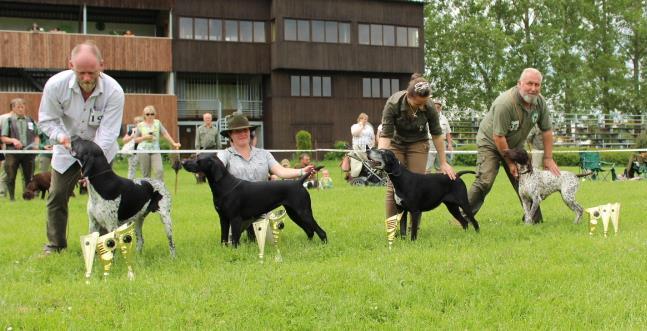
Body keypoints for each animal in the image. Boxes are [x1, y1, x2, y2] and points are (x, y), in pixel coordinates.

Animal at [181, 154, 326, 248]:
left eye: (198, 160)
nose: (182, 162)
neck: (224, 185)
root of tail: (298, 182)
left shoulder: (235, 218)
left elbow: (235, 239)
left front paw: (234, 251)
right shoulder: (223, 218)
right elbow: (223, 238)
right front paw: (224, 250)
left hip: (303, 212)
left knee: (320, 231)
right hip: (294, 213)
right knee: (310, 231)